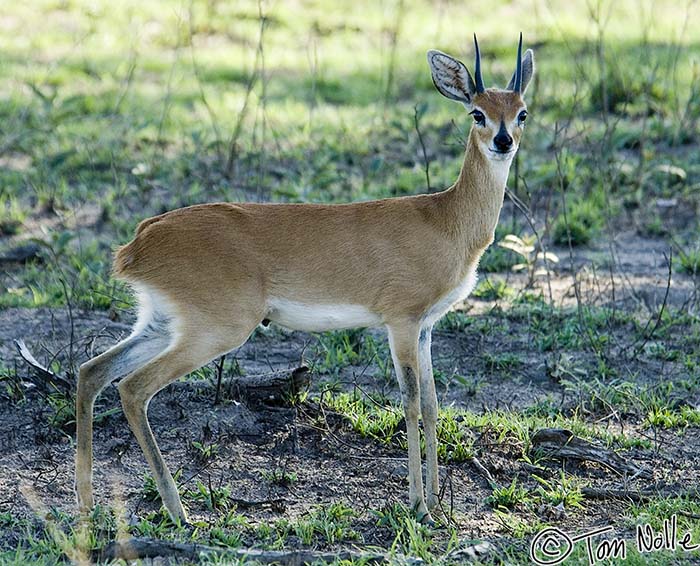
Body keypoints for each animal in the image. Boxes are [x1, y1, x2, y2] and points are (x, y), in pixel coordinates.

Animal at [75, 33, 536, 524]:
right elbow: (410, 403)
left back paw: (87, 503)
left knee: (92, 371)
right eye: (477, 112)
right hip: (215, 331)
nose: (503, 141)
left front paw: (433, 503)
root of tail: (141, 239)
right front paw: (418, 507)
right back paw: (177, 510)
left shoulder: (426, 326)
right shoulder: (402, 322)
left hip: (161, 322)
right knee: (132, 388)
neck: (446, 219)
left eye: (521, 111)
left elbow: (431, 405)